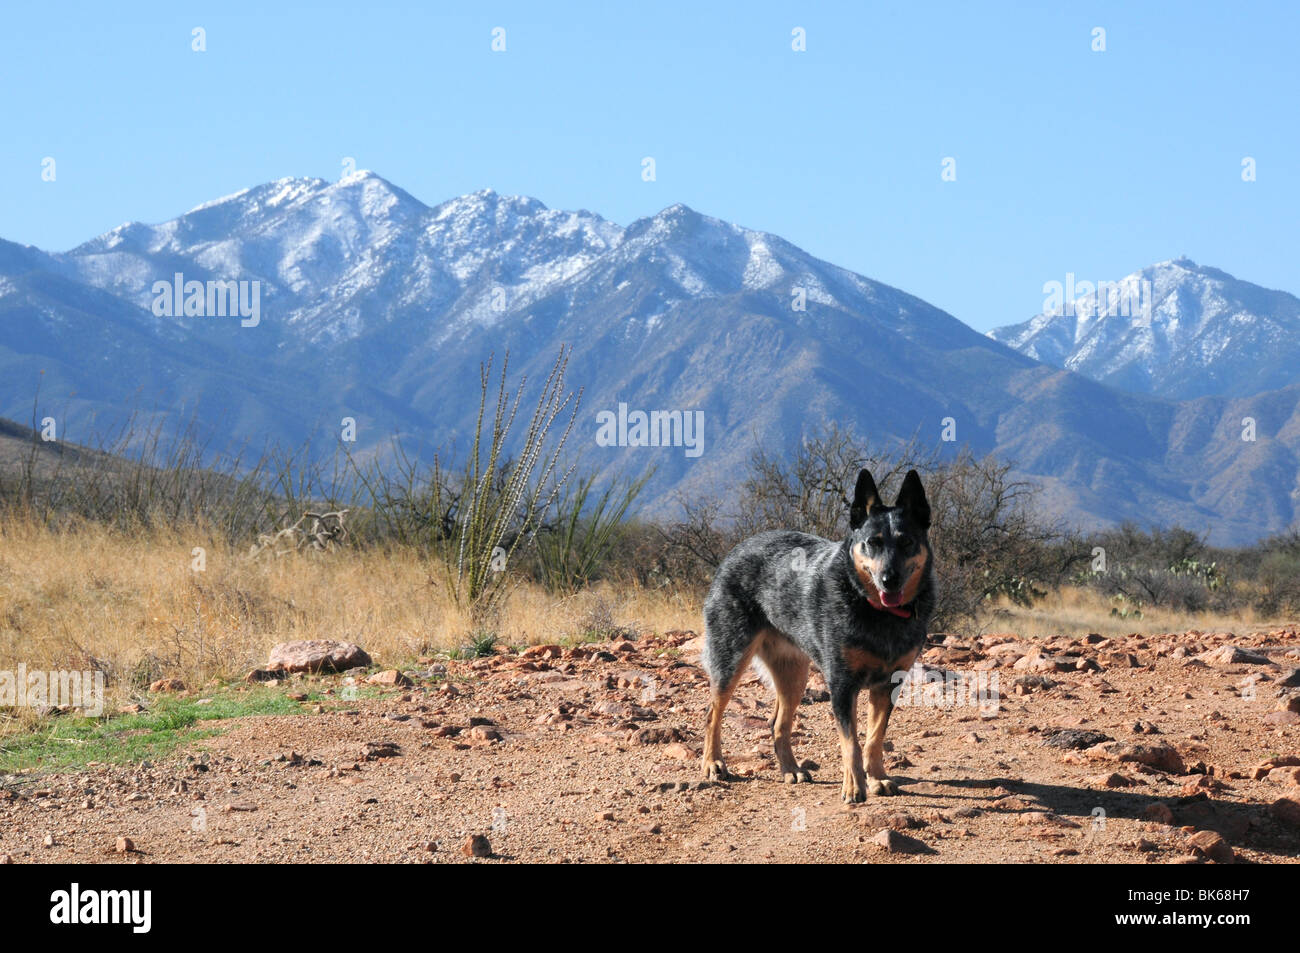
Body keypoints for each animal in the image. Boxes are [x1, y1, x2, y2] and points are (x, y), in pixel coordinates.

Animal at [702, 465, 935, 800]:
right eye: (872, 542)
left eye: (906, 542)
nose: (888, 579)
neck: (876, 611)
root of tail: (735, 549)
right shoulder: (841, 685)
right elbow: (851, 743)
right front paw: (854, 787)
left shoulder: (889, 684)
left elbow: (874, 738)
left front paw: (877, 779)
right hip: (730, 660)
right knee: (712, 714)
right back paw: (713, 764)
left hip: (793, 674)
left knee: (778, 724)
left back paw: (791, 770)